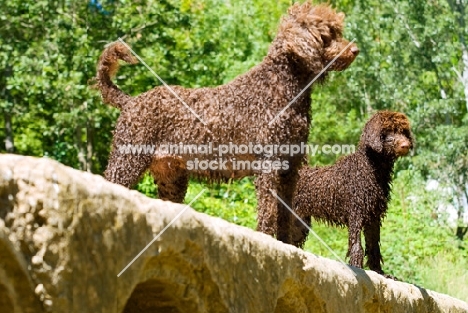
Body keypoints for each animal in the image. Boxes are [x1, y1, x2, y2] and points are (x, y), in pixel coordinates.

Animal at [93, 1, 360, 243]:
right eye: (328, 34)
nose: (355, 50)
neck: (280, 86)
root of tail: (130, 101)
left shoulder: (290, 167)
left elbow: (285, 213)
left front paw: (284, 244)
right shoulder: (269, 164)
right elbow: (268, 210)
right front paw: (266, 238)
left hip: (171, 177)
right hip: (127, 159)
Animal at [292, 110, 414, 276]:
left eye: (403, 131)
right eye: (389, 131)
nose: (406, 145)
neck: (369, 169)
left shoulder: (373, 218)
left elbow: (374, 247)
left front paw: (380, 273)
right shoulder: (356, 214)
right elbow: (357, 247)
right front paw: (358, 268)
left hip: (300, 222)